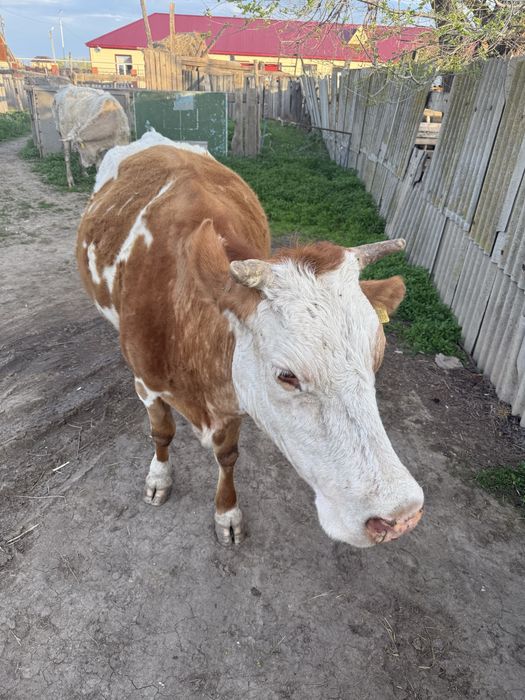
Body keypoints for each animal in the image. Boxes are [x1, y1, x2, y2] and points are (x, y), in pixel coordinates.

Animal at [76, 131, 424, 548]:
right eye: (286, 375)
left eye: (376, 358)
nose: (400, 516)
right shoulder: (147, 383)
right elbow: (161, 431)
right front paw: (159, 477)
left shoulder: (235, 396)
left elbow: (227, 456)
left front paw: (227, 513)